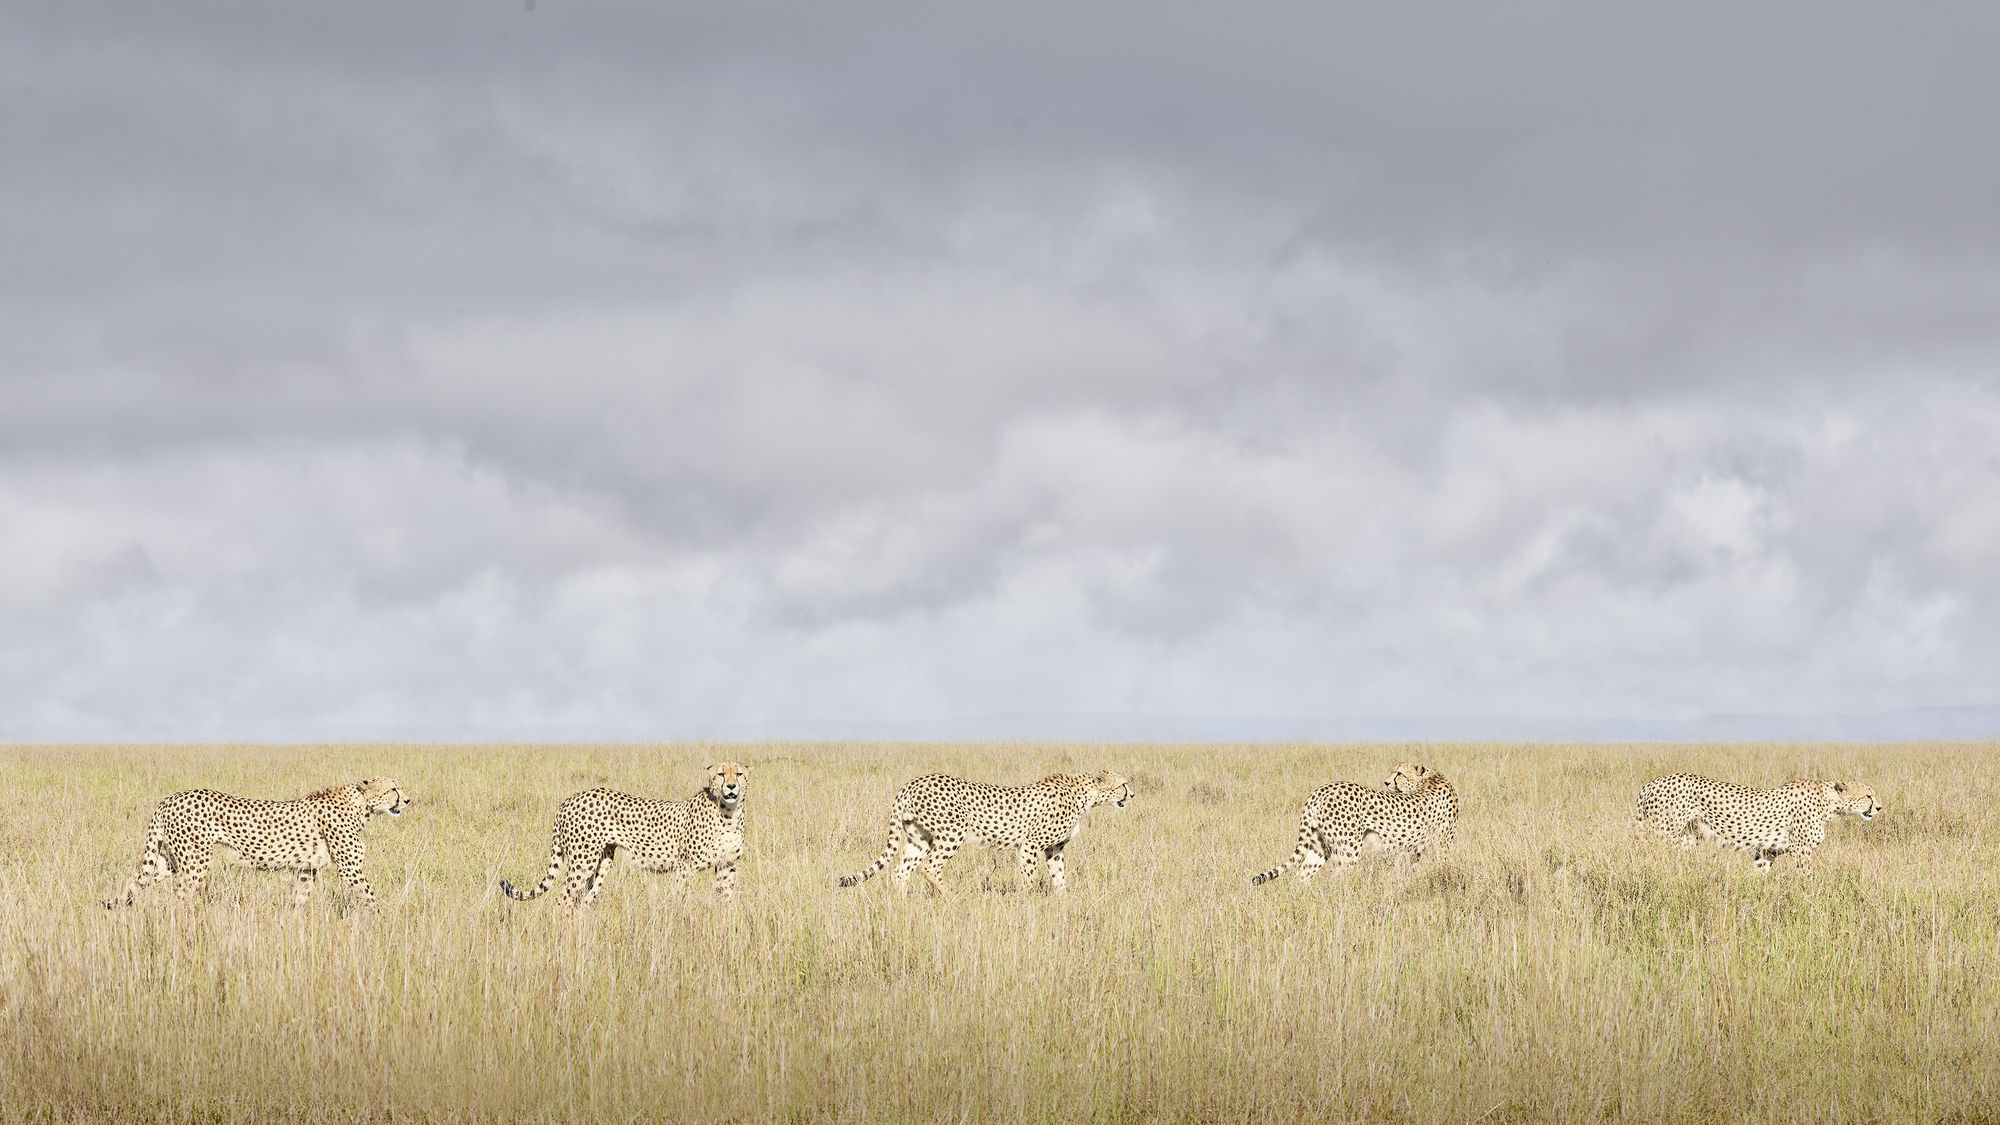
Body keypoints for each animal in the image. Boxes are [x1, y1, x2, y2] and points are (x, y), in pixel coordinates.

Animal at [104, 776, 409, 909]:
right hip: (194, 861)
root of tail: (170, 797)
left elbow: (300, 901)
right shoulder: (350, 869)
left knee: (135, 882)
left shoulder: (306, 870)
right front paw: (381, 926)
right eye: (393, 788)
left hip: (169, 860)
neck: (362, 806)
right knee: (181, 894)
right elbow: (370, 898)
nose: (407, 800)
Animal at [500, 761, 752, 910]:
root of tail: (571, 798)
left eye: (739, 774)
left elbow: (725, 899)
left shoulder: (728, 865)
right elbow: (680, 898)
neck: (728, 813)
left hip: (601, 862)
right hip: (583, 861)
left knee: (582, 900)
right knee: (563, 899)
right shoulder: (686, 866)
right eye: (721, 774)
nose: (731, 787)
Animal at [837, 768, 1132, 895]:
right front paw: (1025, 903)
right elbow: (1028, 878)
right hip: (952, 833)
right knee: (930, 867)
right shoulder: (1031, 845)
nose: (1131, 795)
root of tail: (914, 781)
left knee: (901, 871)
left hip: (918, 837)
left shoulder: (1054, 848)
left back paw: (902, 904)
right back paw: (953, 898)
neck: (1084, 796)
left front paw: (1062, 904)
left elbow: (1059, 878)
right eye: (1123, 784)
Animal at [1251, 762, 1458, 886]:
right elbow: (1444, 865)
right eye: (1393, 772)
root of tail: (1321, 789)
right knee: (1336, 877)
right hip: (1348, 849)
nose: (1386, 782)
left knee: (1302, 875)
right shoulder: (1440, 844)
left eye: (1399, 773)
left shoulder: (1416, 849)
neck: (1429, 779)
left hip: (1319, 845)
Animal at [1633, 772, 1882, 871]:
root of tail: (1653, 781)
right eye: (1868, 795)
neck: (1829, 803)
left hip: (1688, 837)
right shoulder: (1801, 850)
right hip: (1664, 835)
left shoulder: (1767, 850)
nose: (1879, 807)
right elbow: (1807, 879)